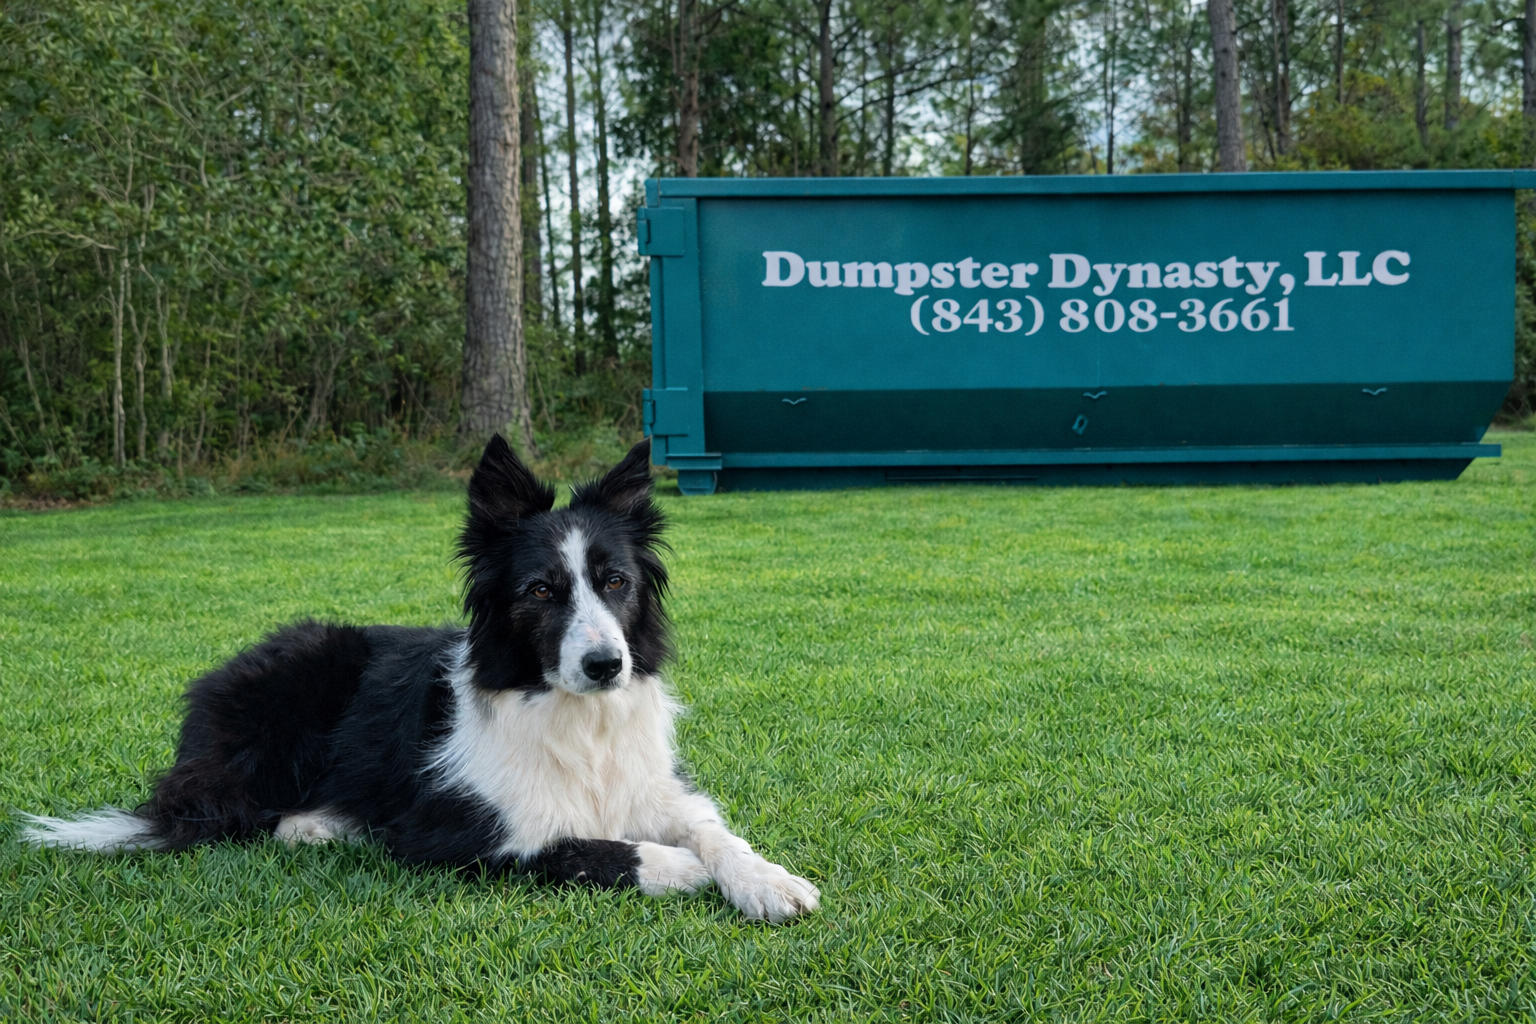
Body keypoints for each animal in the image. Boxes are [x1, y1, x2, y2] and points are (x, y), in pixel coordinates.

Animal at [21, 436, 819, 923]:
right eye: (539, 591)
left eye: (615, 581)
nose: (606, 666)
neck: (572, 717)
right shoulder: (452, 830)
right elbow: (574, 848)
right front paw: (679, 869)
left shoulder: (653, 786)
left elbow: (714, 831)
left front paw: (766, 880)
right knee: (236, 812)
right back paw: (314, 822)